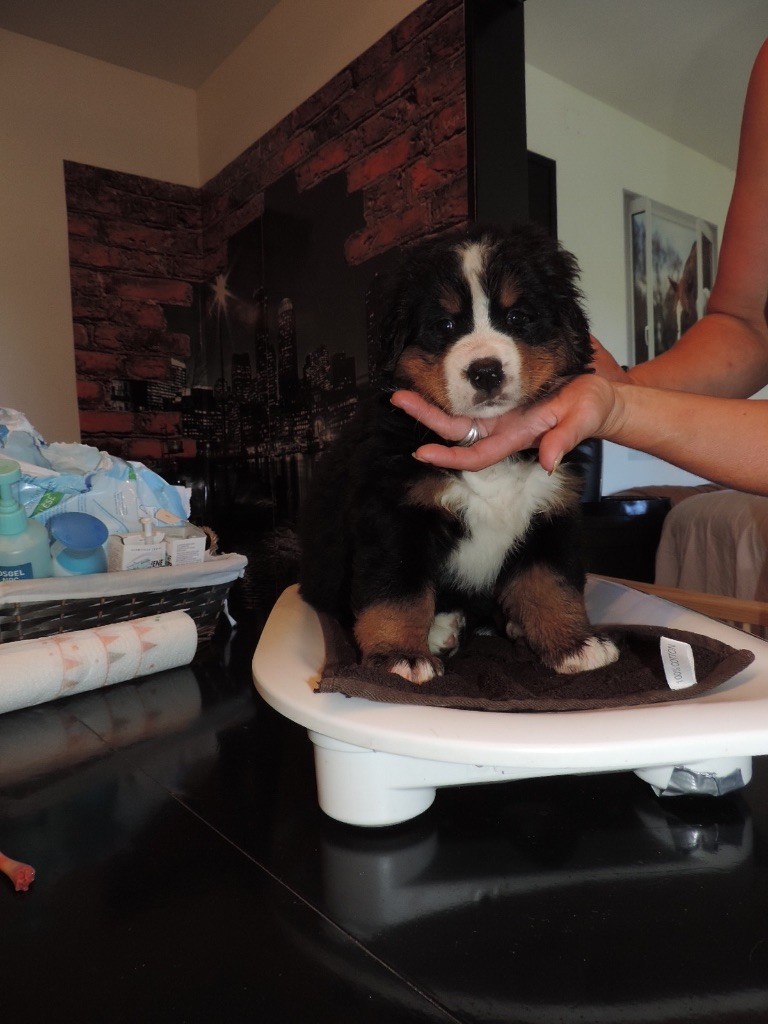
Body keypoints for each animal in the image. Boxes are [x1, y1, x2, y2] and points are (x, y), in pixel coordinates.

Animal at [298, 223, 619, 684]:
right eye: (445, 324)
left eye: (518, 318)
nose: (485, 372)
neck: (491, 462)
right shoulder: (395, 513)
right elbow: (397, 591)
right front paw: (399, 655)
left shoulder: (551, 509)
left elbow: (550, 582)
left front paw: (573, 644)